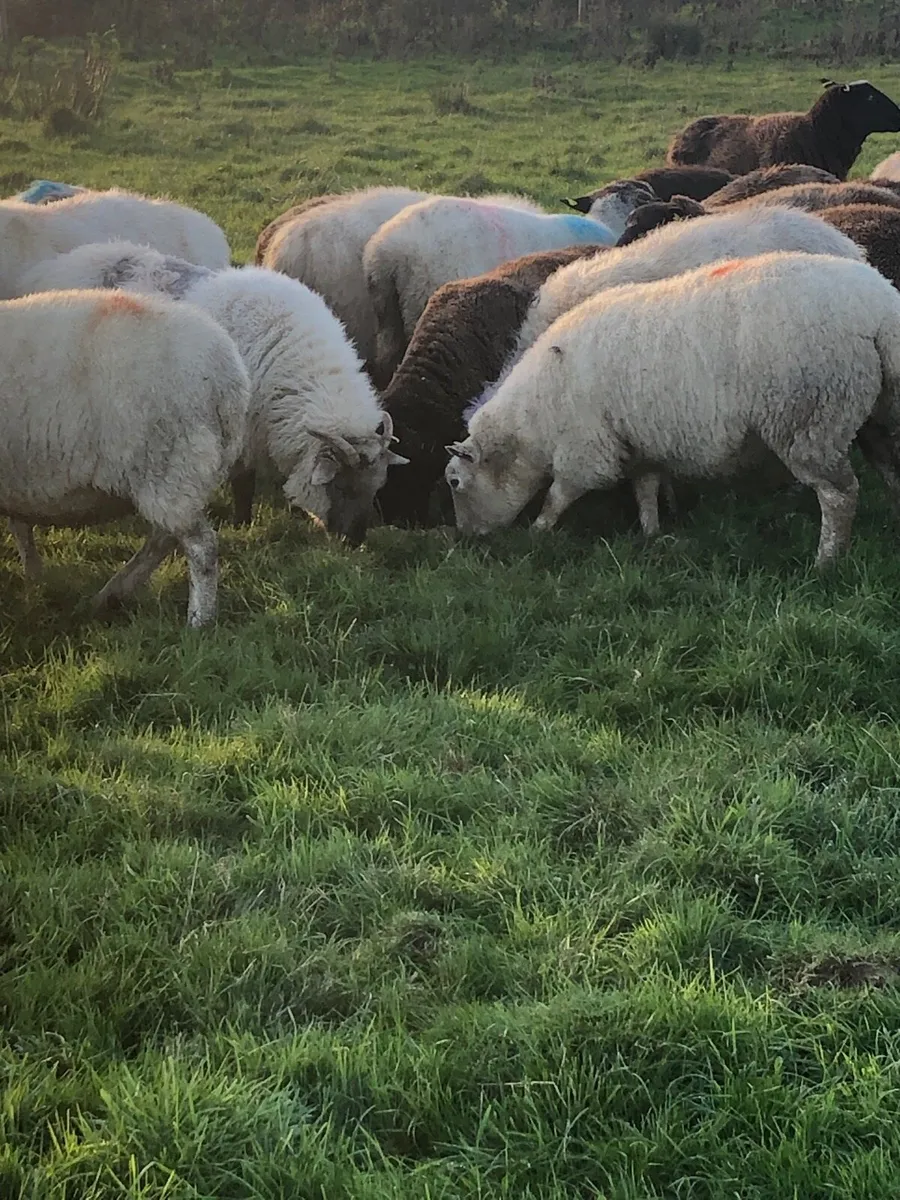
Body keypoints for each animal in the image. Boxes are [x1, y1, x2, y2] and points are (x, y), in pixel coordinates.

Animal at [1, 289, 250, 627]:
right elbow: (21, 527)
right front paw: (35, 577)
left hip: (171, 463)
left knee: (200, 547)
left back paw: (198, 621)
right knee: (164, 538)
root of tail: (231, 377)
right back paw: (111, 595)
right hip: (176, 474)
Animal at [21, 242, 406, 542]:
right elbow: (243, 483)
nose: (354, 542)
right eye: (341, 486)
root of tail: (62, 262)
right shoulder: (242, 428)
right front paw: (243, 523)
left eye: (376, 487)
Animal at [445, 252, 900, 569]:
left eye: (454, 482)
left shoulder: (585, 448)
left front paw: (538, 531)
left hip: (810, 417)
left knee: (839, 495)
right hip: (878, 412)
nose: (465, 538)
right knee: (889, 468)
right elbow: (644, 490)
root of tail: (879, 311)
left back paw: (826, 561)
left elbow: (559, 495)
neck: (530, 423)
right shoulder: (639, 441)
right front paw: (652, 534)